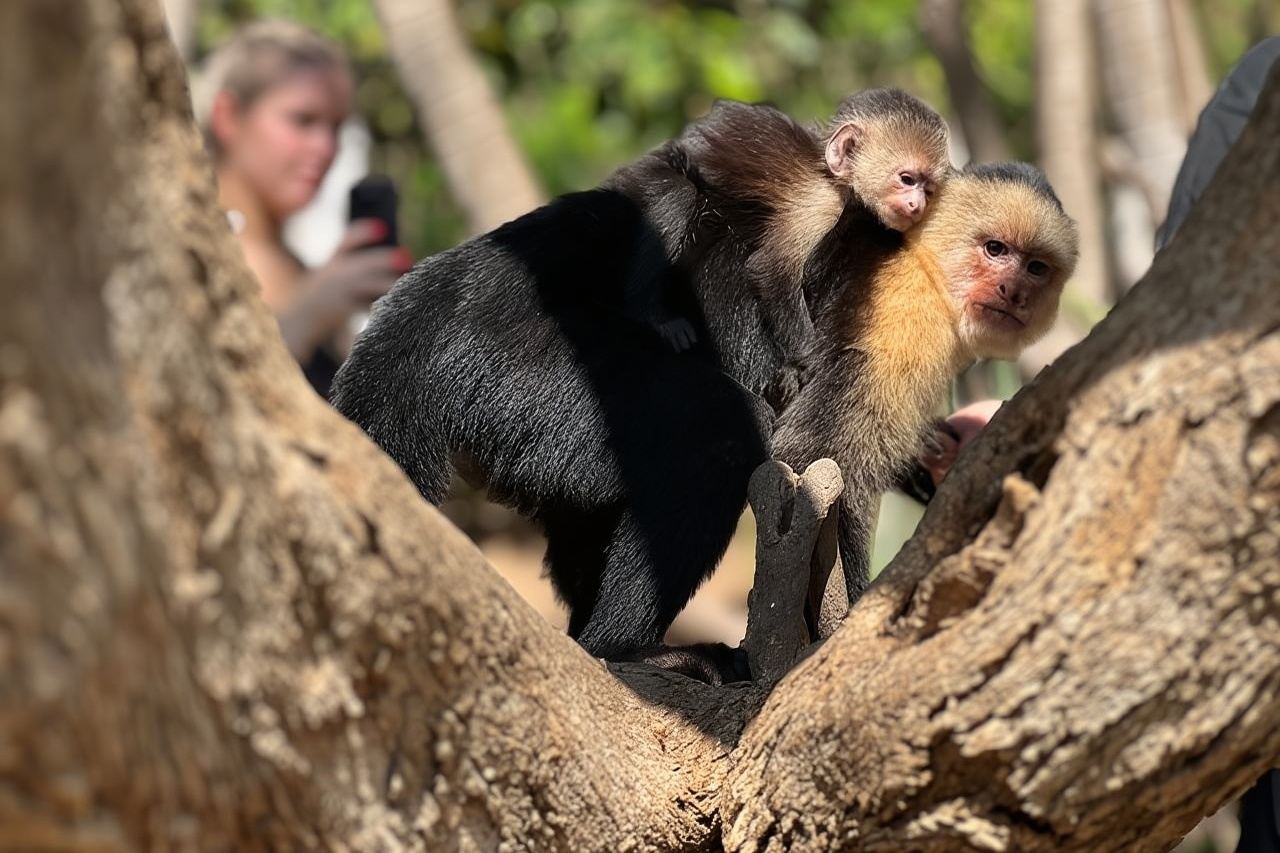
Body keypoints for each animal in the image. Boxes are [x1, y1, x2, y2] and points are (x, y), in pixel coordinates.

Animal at [331, 91, 951, 682]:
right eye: (907, 179)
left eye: (927, 183)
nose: (915, 205)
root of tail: (442, 288)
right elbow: (813, 446)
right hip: (522, 358)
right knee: (719, 430)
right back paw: (622, 649)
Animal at [771, 161, 1080, 603]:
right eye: (996, 249)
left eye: (1036, 268)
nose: (1015, 291)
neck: (931, 270)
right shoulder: (904, 309)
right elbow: (813, 457)